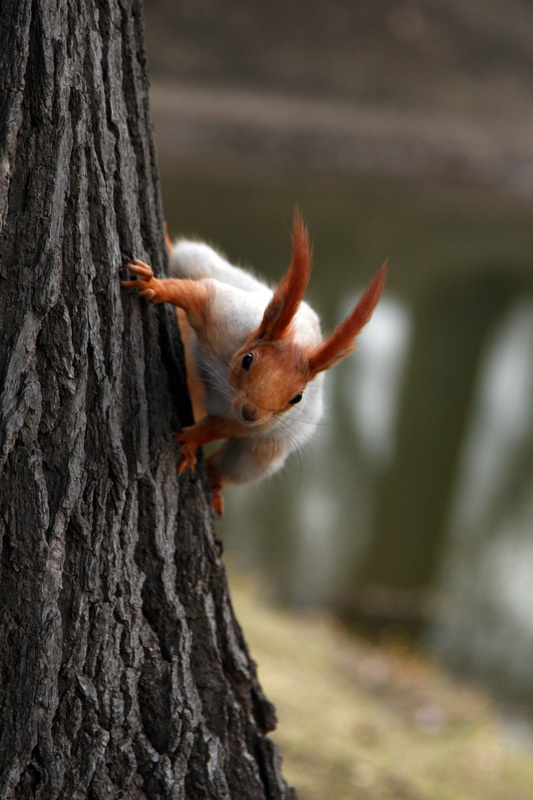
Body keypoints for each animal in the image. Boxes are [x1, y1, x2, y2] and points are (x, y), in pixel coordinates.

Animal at [122, 211, 386, 514]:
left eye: (297, 397)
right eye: (248, 360)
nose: (250, 412)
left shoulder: (261, 424)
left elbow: (221, 427)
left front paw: (191, 440)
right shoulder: (222, 315)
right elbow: (192, 294)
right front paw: (152, 285)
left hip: (261, 454)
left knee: (230, 467)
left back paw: (214, 484)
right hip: (203, 262)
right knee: (188, 258)